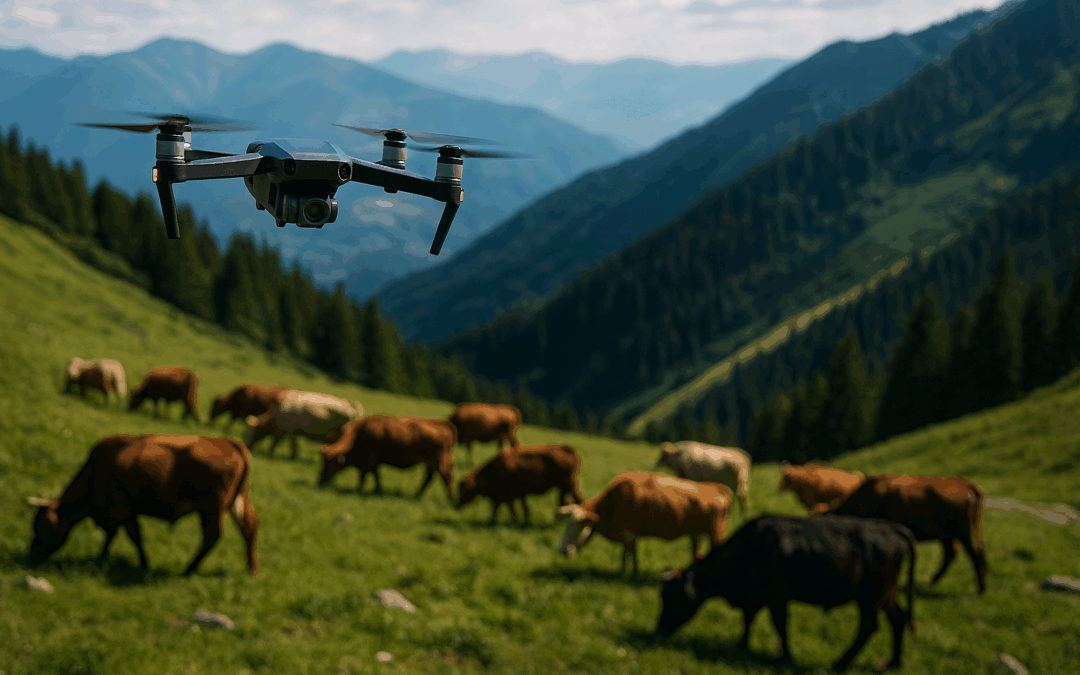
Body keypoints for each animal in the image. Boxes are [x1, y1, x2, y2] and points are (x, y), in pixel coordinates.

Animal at [27, 434, 259, 576]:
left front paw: (143, 564)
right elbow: (113, 535)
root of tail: (229, 442)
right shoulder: (122, 511)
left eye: (40, 527)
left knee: (212, 536)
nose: (31, 556)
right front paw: (102, 557)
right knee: (250, 526)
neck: (94, 472)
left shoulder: (121, 508)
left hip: (212, 508)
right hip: (237, 502)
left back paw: (188, 571)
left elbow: (132, 536)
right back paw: (251, 569)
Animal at [319, 415, 457, 501]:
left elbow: (366, 476)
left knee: (446, 477)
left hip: (439, 462)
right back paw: (417, 496)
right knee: (429, 478)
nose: (320, 480)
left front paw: (360, 489)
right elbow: (375, 475)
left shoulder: (370, 460)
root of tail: (443, 423)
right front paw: (377, 489)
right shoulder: (374, 462)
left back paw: (451, 499)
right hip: (432, 463)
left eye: (329, 462)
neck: (358, 435)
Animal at [557, 471, 733, 577]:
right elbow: (633, 554)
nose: (562, 550)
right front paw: (634, 572)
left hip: (716, 534)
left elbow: (625, 555)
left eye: (578, 526)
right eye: (565, 525)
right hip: (697, 535)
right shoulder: (632, 535)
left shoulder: (628, 533)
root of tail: (717, 487)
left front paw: (623, 574)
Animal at [655, 514, 917, 672]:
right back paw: (893, 662)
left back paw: (841, 663)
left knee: (869, 626)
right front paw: (741, 645)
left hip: (871, 598)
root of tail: (893, 528)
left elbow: (780, 624)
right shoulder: (754, 596)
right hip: (887, 595)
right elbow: (748, 620)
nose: (658, 630)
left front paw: (786, 657)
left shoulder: (776, 596)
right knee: (898, 619)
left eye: (672, 596)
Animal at [820, 474, 988, 594]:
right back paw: (931, 581)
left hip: (964, 533)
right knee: (952, 553)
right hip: (946, 535)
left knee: (976, 554)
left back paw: (981, 588)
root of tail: (963, 483)